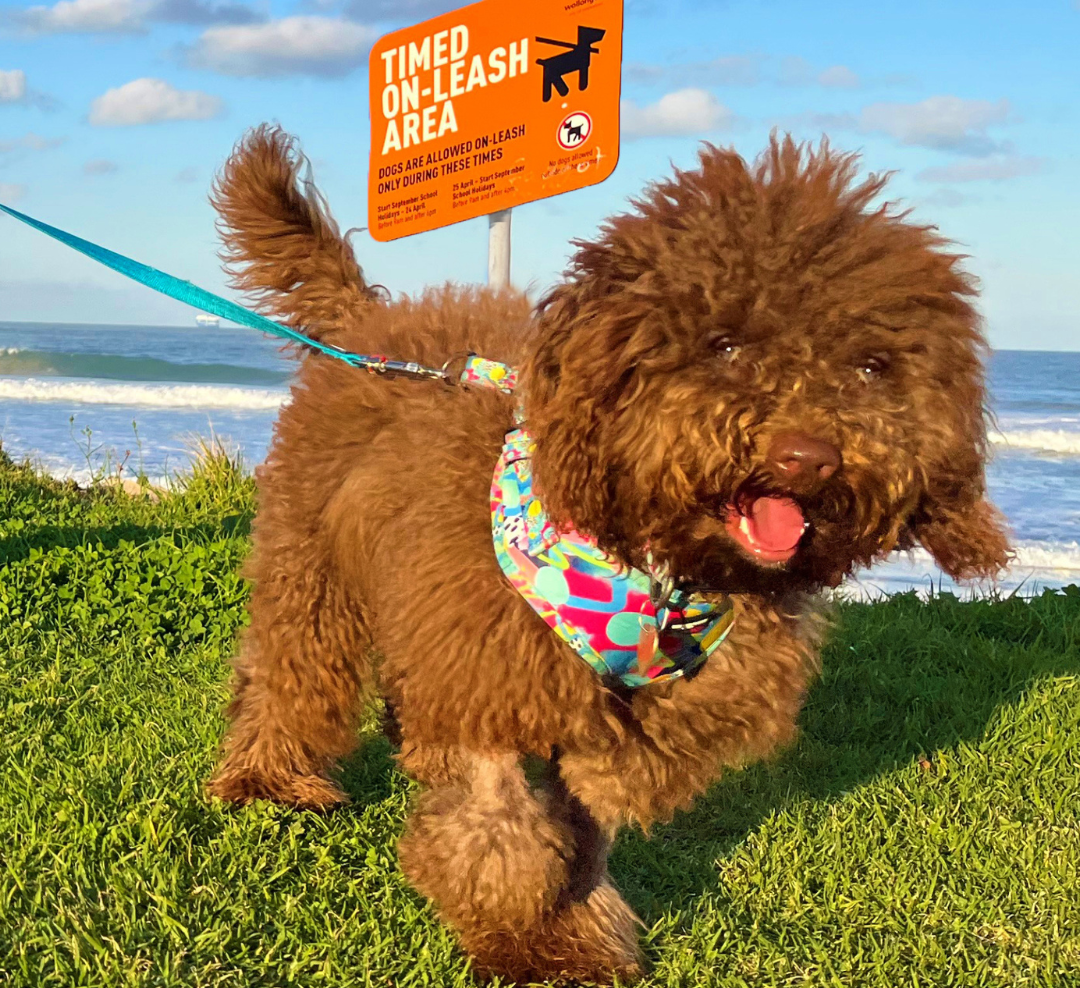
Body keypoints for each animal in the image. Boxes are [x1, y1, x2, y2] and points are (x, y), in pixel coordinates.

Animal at [204, 123, 1010, 980]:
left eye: (870, 366)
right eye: (724, 344)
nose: (809, 457)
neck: (651, 575)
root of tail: (368, 323)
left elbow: (587, 816)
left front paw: (576, 926)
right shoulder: (482, 667)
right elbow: (503, 824)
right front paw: (519, 932)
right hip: (310, 561)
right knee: (293, 671)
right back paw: (269, 778)